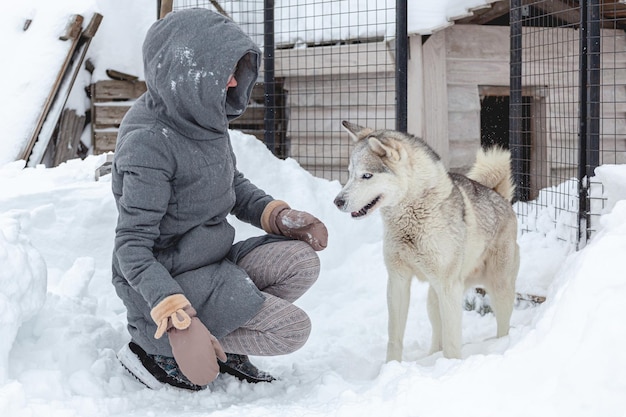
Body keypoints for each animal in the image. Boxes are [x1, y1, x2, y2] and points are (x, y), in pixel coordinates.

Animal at [334, 120, 520, 360]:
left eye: (366, 176)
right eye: (349, 174)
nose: (337, 201)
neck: (412, 217)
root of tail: (499, 196)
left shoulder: (449, 287)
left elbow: (452, 343)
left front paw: (451, 365)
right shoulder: (398, 281)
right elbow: (395, 337)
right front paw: (391, 365)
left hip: (499, 291)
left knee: (502, 329)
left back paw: (500, 346)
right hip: (434, 299)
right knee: (437, 338)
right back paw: (429, 358)